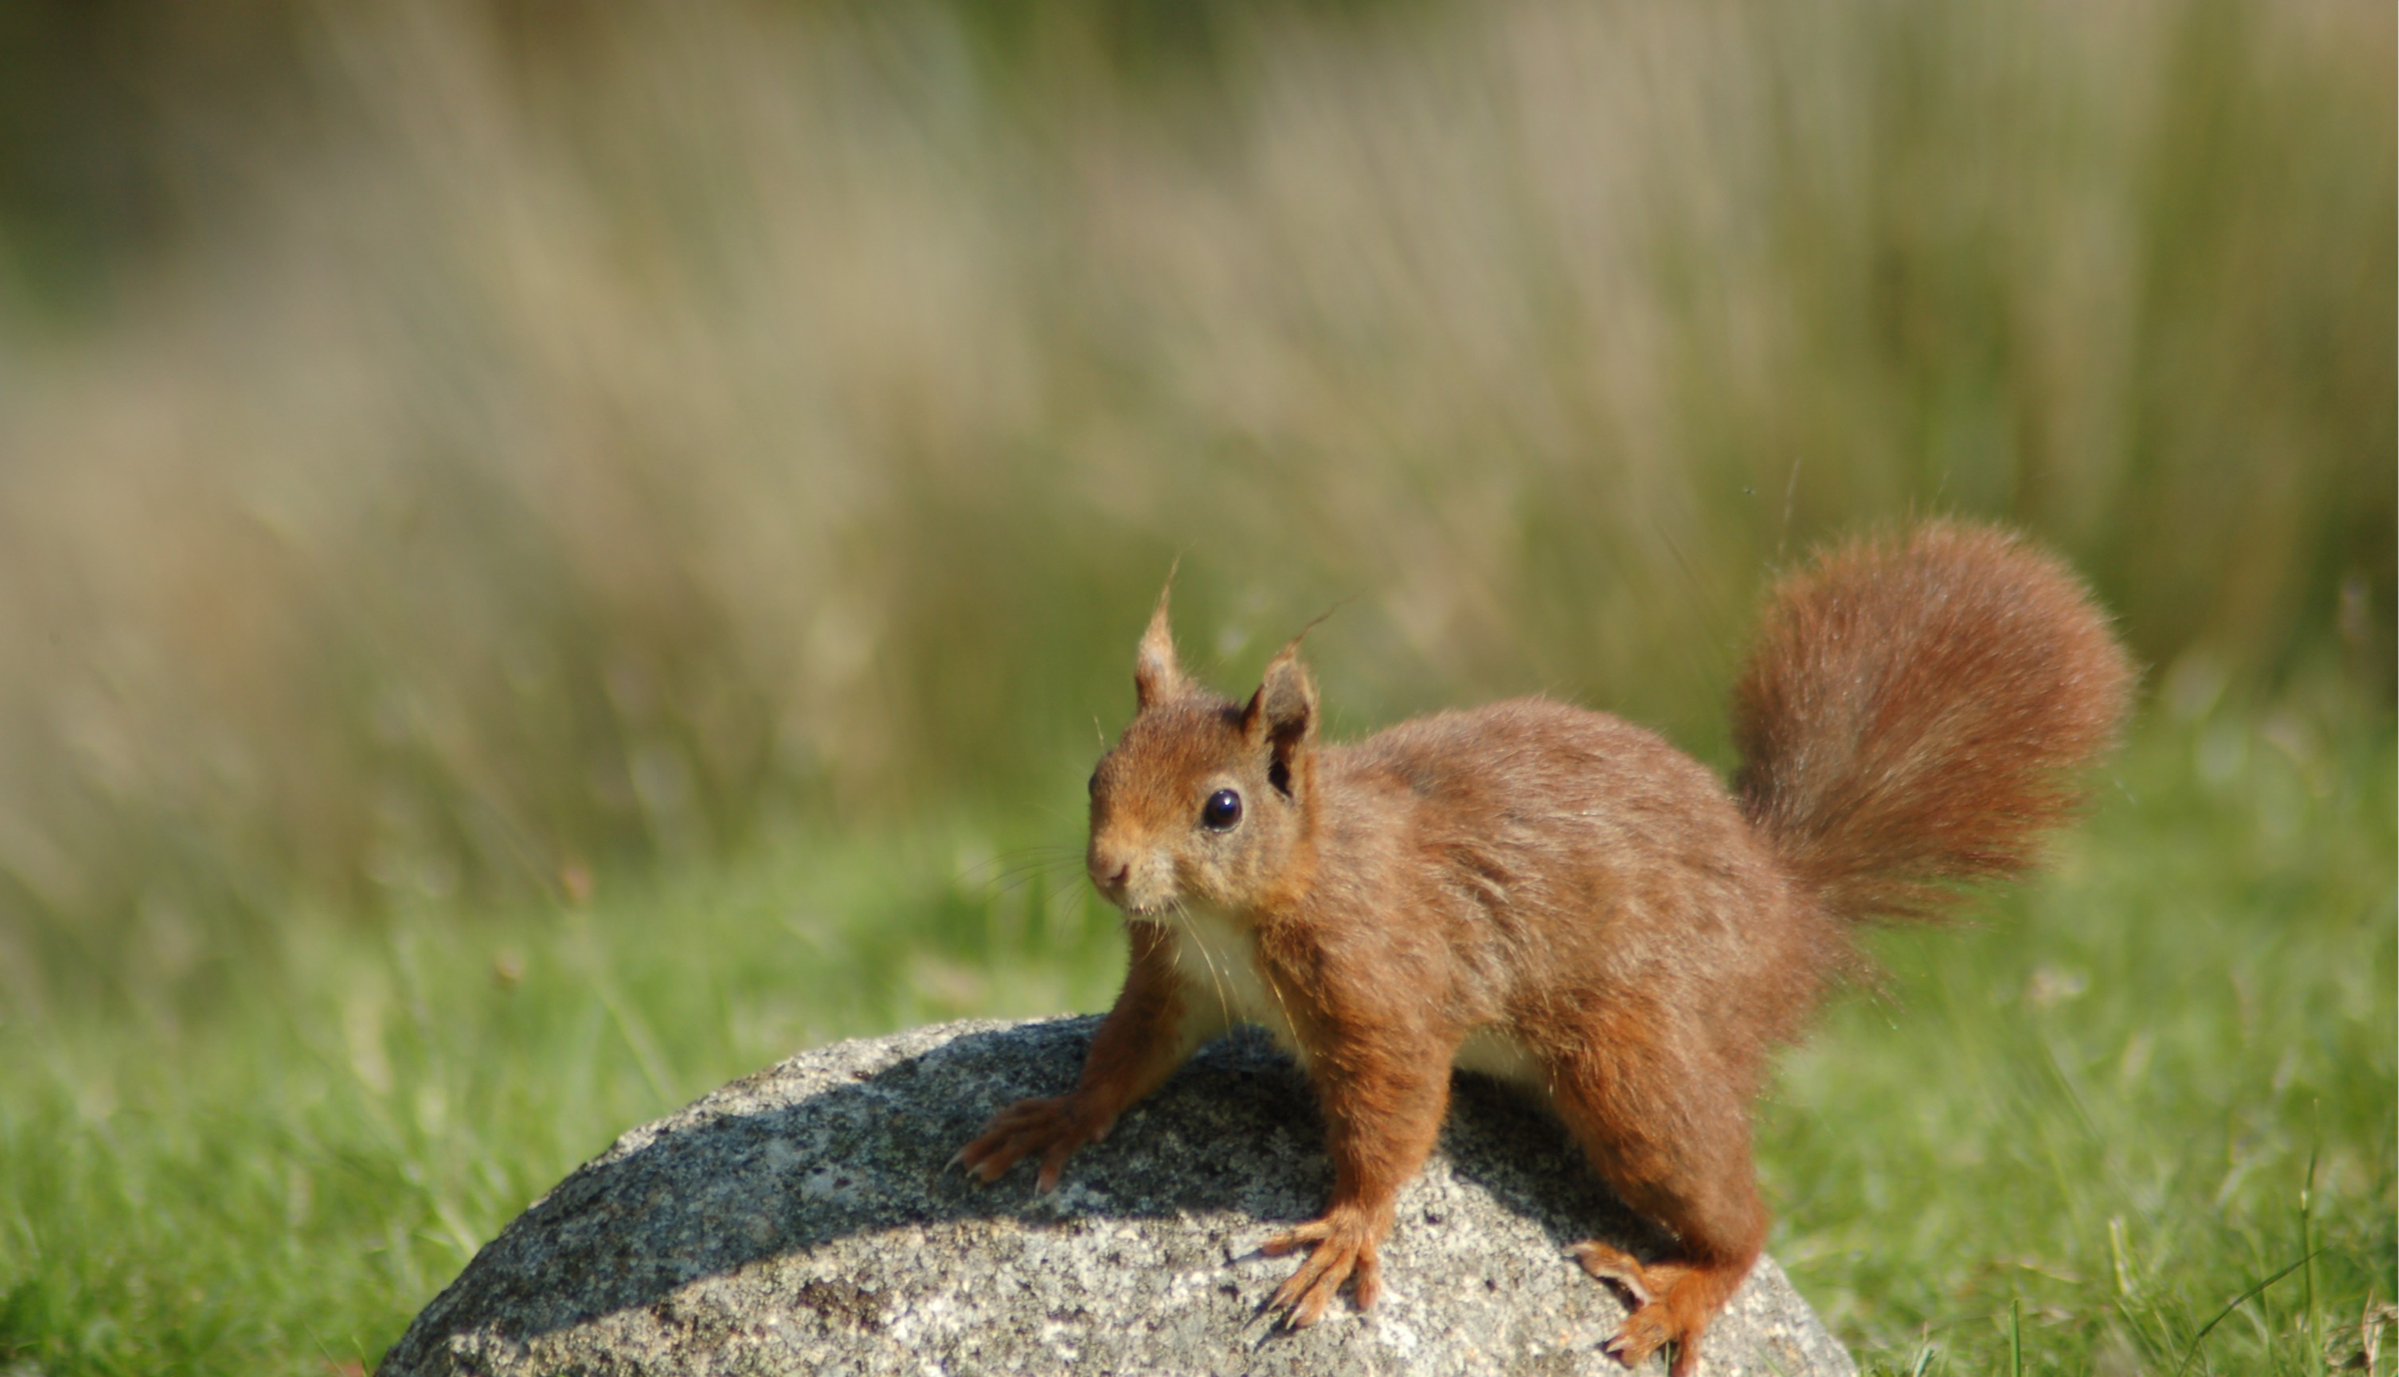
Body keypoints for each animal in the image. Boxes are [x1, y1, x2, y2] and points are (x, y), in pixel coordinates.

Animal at [958, 521, 2133, 1376]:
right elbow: (1128, 1055)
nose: (1110, 870)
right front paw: (1059, 1115)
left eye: (1221, 807)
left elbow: (1394, 1115)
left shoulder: (1384, 985)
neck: (1240, 912)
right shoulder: (1175, 980)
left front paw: (1345, 1229)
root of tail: (1787, 913)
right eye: (1098, 775)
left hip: (1633, 1067)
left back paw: (1683, 1286)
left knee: (1738, 1211)